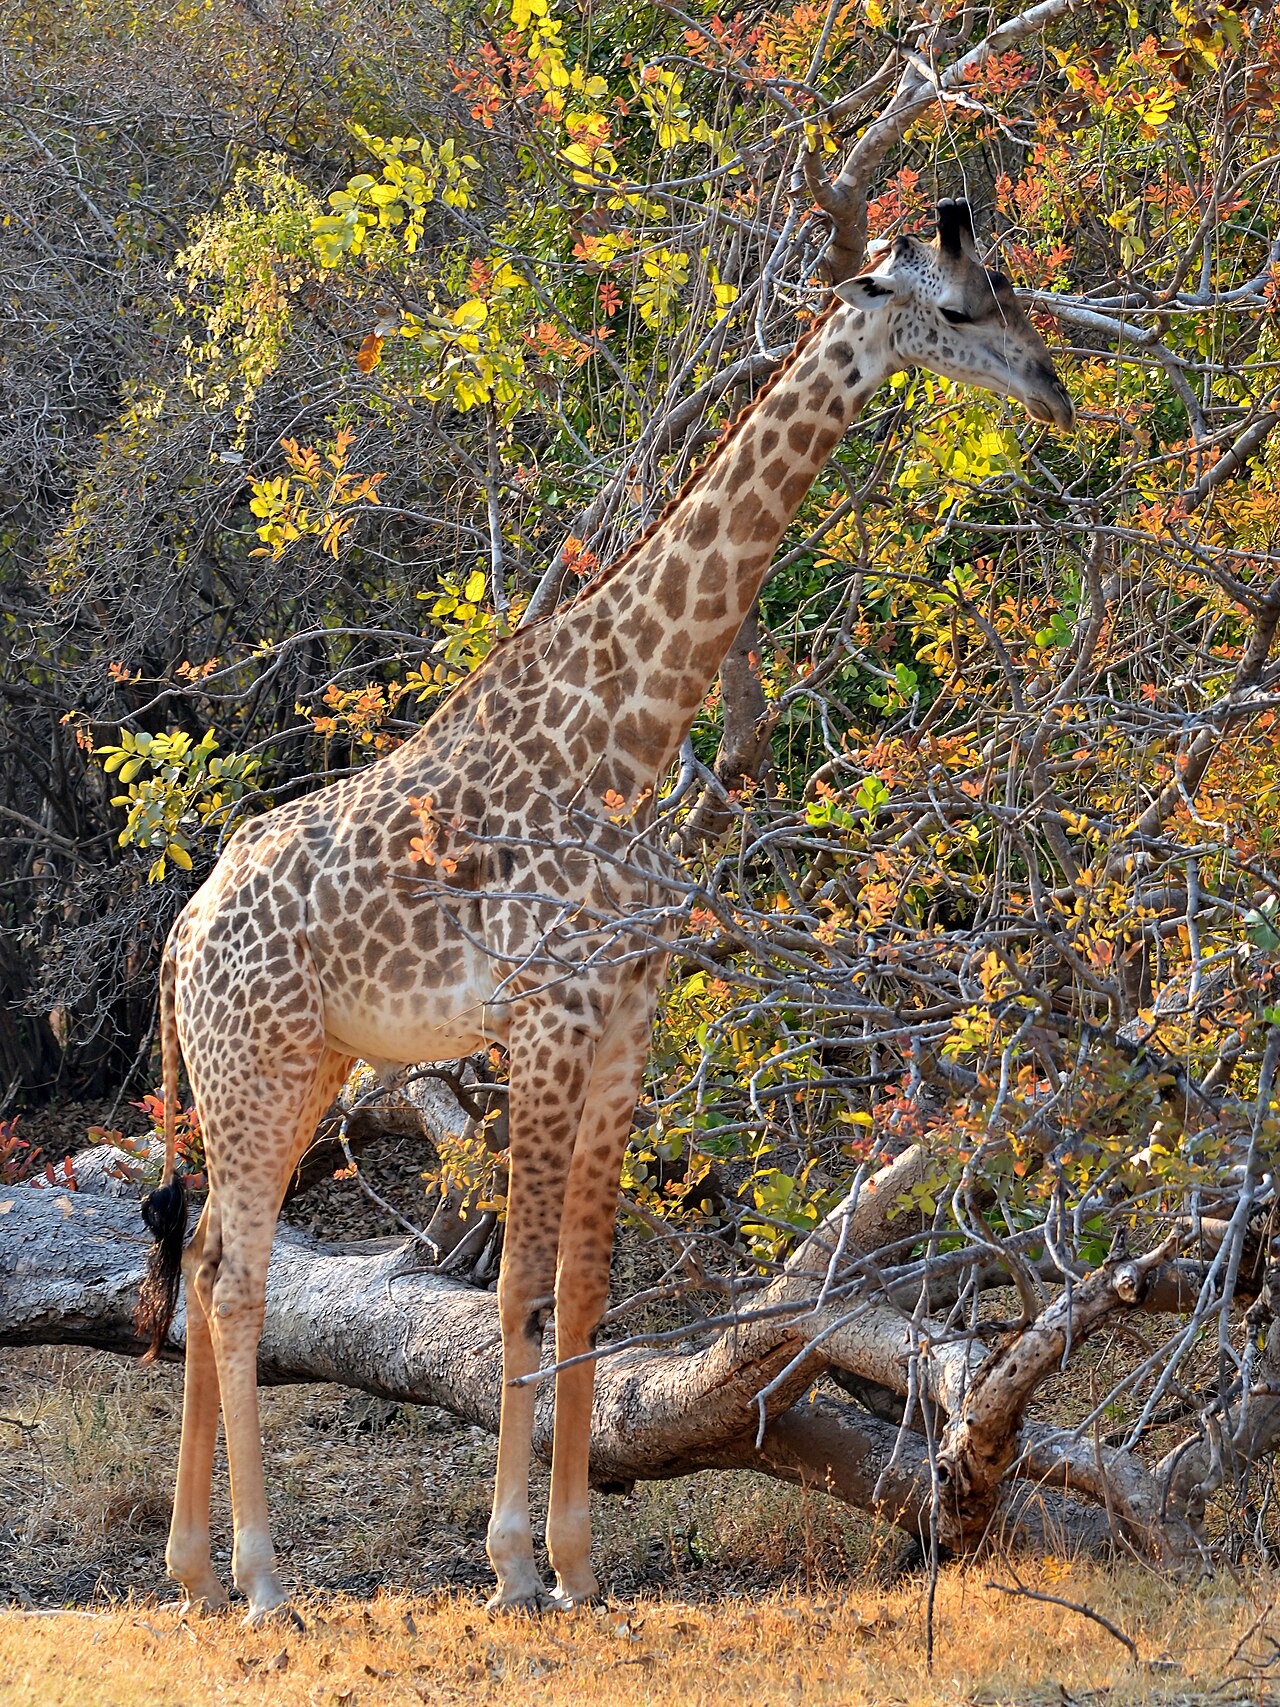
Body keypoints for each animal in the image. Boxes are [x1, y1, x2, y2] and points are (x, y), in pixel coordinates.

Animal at [135, 198, 1073, 1623]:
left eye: (1010, 288)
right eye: (960, 309)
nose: (1053, 389)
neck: (632, 723)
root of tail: (183, 933)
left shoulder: (627, 1018)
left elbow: (582, 1289)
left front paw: (576, 1563)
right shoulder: (545, 1019)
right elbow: (516, 1287)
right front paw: (512, 1566)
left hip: (298, 1070)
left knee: (199, 1267)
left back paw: (189, 1570)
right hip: (258, 1066)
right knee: (238, 1286)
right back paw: (261, 1580)